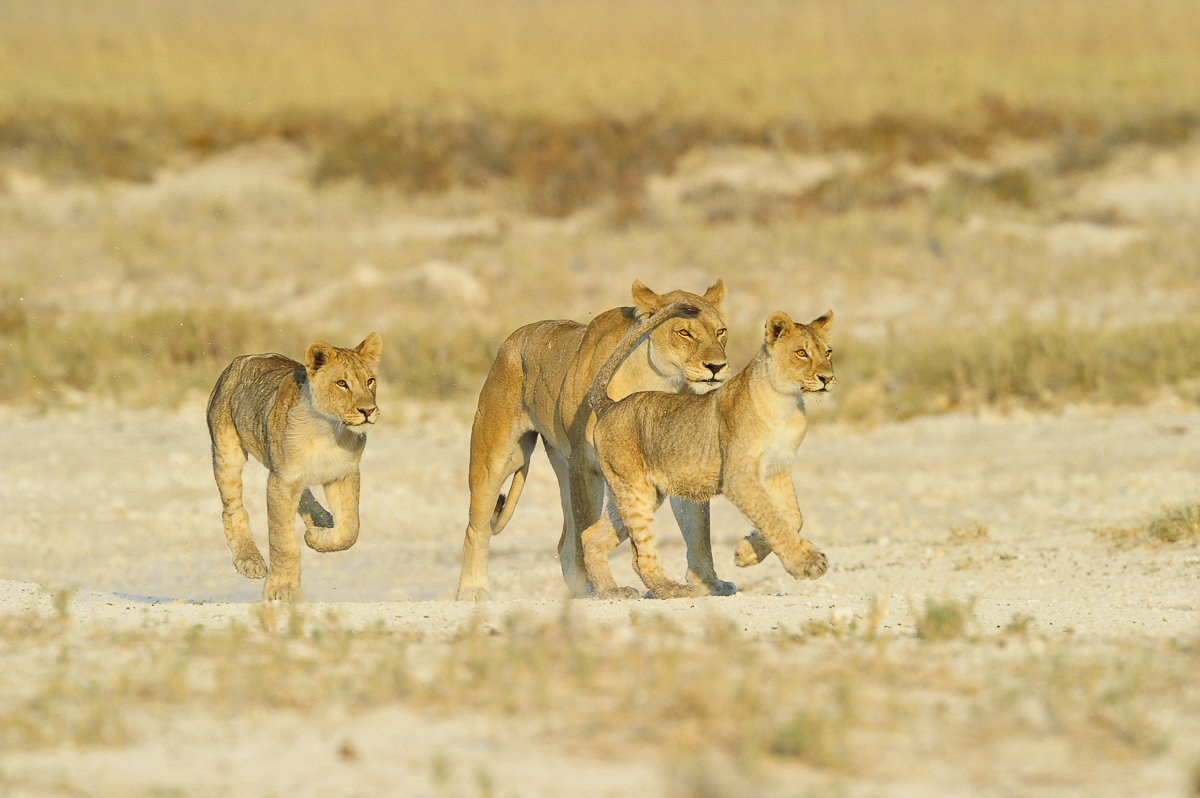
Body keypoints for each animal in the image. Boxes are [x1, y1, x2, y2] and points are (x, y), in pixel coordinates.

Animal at [206, 333, 383, 601]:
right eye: (342, 383)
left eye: (370, 381)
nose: (368, 410)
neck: (329, 430)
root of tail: (239, 360)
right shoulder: (282, 480)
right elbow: (282, 541)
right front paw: (281, 588)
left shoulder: (344, 474)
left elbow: (350, 530)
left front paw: (317, 538)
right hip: (227, 451)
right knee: (232, 509)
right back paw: (249, 559)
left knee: (306, 495)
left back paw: (322, 520)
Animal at [457, 280, 731, 601]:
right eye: (684, 333)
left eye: (720, 331)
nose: (717, 367)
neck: (661, 382)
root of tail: (513, 339)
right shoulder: (584, 464)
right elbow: (586, 527)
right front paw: (598, 587)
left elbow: (698, 526)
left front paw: (709, 582)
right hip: (499, 458)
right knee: (477, 529)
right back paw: (474, 589)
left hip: (563, 467)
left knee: (564, 540)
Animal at [580, 303, 833, 599]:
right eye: (801, 353)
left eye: (828, 352)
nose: (828, 378)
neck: (786, 402)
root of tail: (609, 404)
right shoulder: (739, 478)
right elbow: (774, 519)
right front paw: (806, 562)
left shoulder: (777, 470)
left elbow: (793, 518)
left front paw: (747, 551)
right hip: (635, 489)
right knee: (640, 556)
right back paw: (673, 589)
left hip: (635, 492)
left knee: (590, 536)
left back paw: (610, 590)